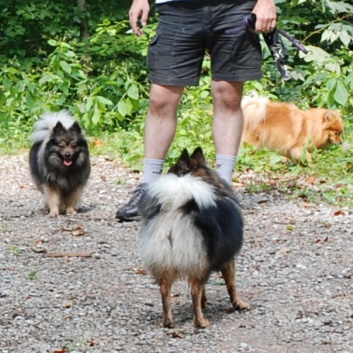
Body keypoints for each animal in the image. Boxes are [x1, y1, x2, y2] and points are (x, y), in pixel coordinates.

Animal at [138, 146, 248, 328]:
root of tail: (176, 210)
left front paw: (205, 303)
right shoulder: (227, 258)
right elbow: (231, 284)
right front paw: (239, 304)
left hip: (167, 263)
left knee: (165, 290)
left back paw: (168, 321)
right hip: (200, 264)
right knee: (194, 291)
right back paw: (201, 321)